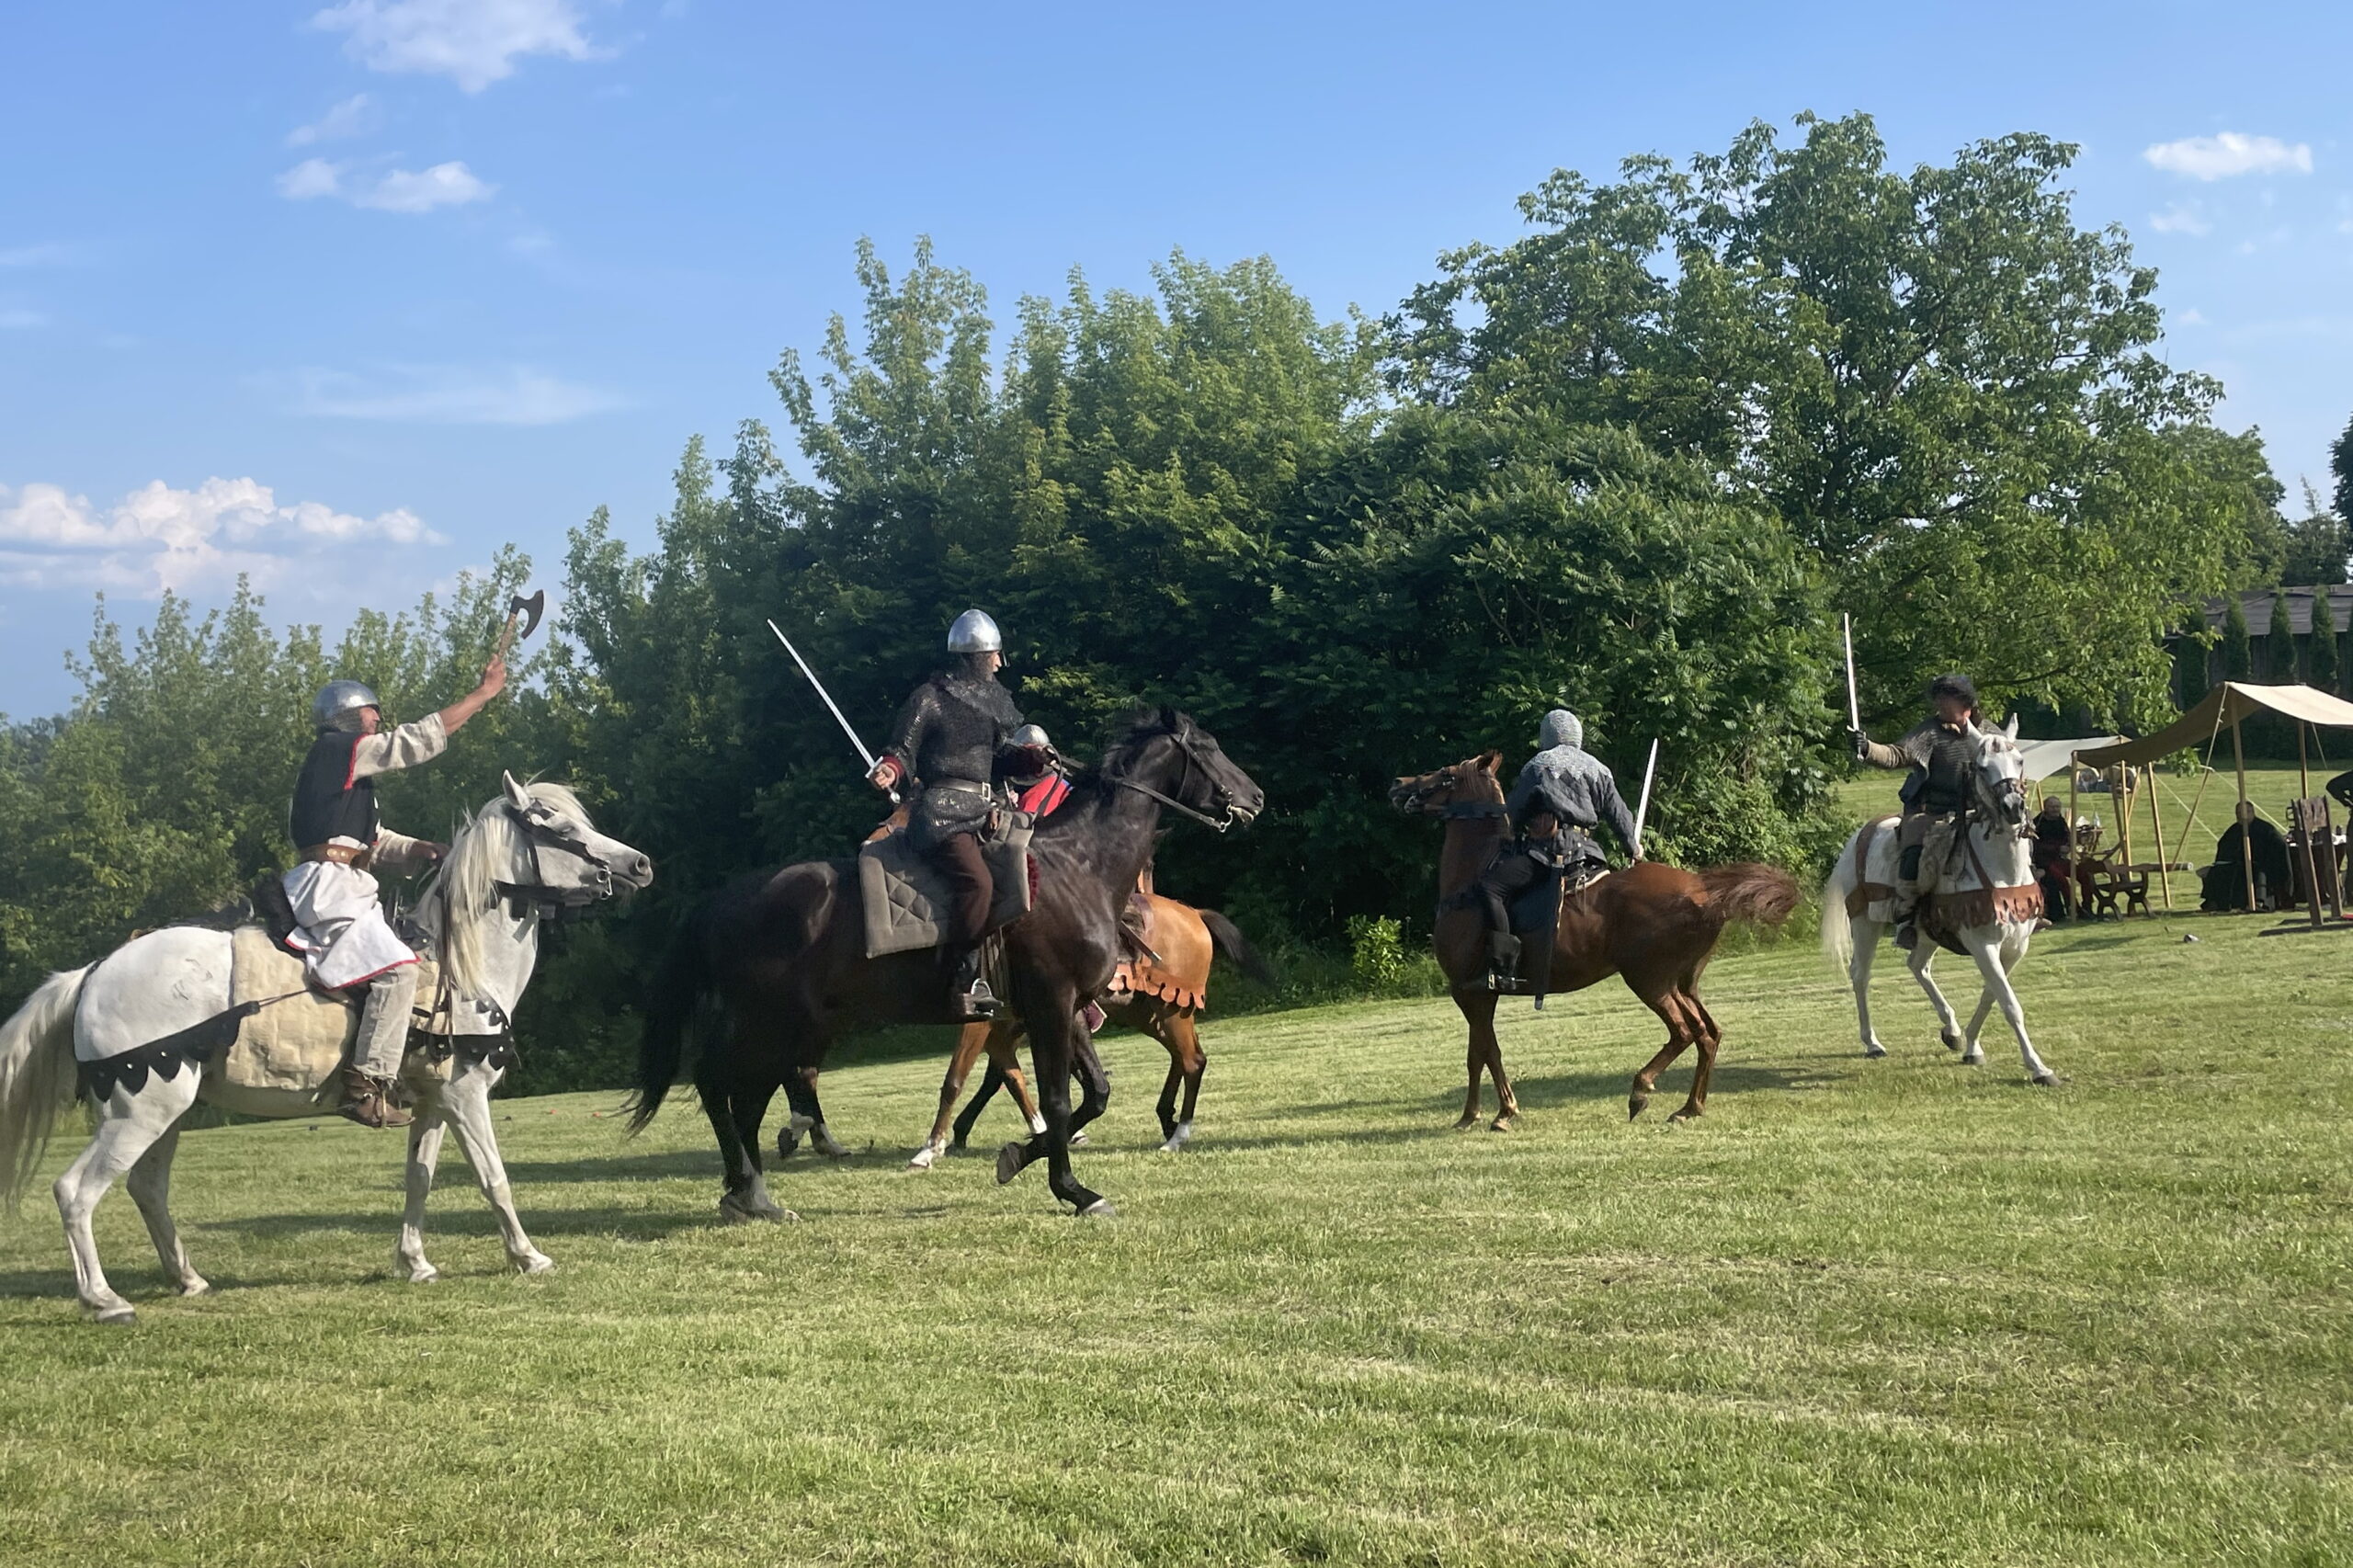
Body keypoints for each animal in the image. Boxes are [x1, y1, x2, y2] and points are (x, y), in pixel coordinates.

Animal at [0, 775, 654, 1323]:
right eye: (558, 827)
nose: (640, 864)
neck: (458, 969)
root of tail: (93, 973)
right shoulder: (466, 1097)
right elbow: (493, 1177)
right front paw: (528, 1257)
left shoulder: (433, 1104)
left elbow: (419, 1180)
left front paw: (416, 1263)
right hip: (141, 1110)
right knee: (76, 1192)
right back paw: (103, 1298)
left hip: (165, 1111)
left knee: (147, 1189)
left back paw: (188, 1279)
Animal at [906, 893, 1274, 1168]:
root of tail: (1194, 913)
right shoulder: (1006, 1031)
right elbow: (1010, 1078)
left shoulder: (986, 1024)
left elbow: (957, 1080)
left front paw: (930, 1148)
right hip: (1149, 1012)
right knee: (1181, 1057)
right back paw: (1167, 1121)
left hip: (1172, 1008)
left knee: (1192, 1061)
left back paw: (1178, 1135)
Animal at [1389, 753, 1801, 1128]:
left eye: (1444, 774)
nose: (1398, 783)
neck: (1470, 885)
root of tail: (1703, 890)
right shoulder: (1480, 995)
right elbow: (1486, 1051)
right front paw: (1493, 1111)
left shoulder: (1469, 992)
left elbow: (1482, 1052)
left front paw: (1486, 1114)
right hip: (1683, 983)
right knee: (1709, 1034)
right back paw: (1689, 1107)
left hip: (1649, 981)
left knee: (1685, 1032)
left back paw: (1641, 1091)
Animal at [1821, 715, 2060, 1085]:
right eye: (1982, 767)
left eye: (2019, 761)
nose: (2013, 808)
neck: (2002, 868)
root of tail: (1862, 832)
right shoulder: (1982, 944)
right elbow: (2009, 1004)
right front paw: (2038, 1067)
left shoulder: (2015, 946)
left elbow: (1991, 996)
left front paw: (1971, 1045)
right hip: (1865, 921)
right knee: (1861, 974)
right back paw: (1872, 1042)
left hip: (1926, 930)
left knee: (1917, 965)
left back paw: (1951, 1029)